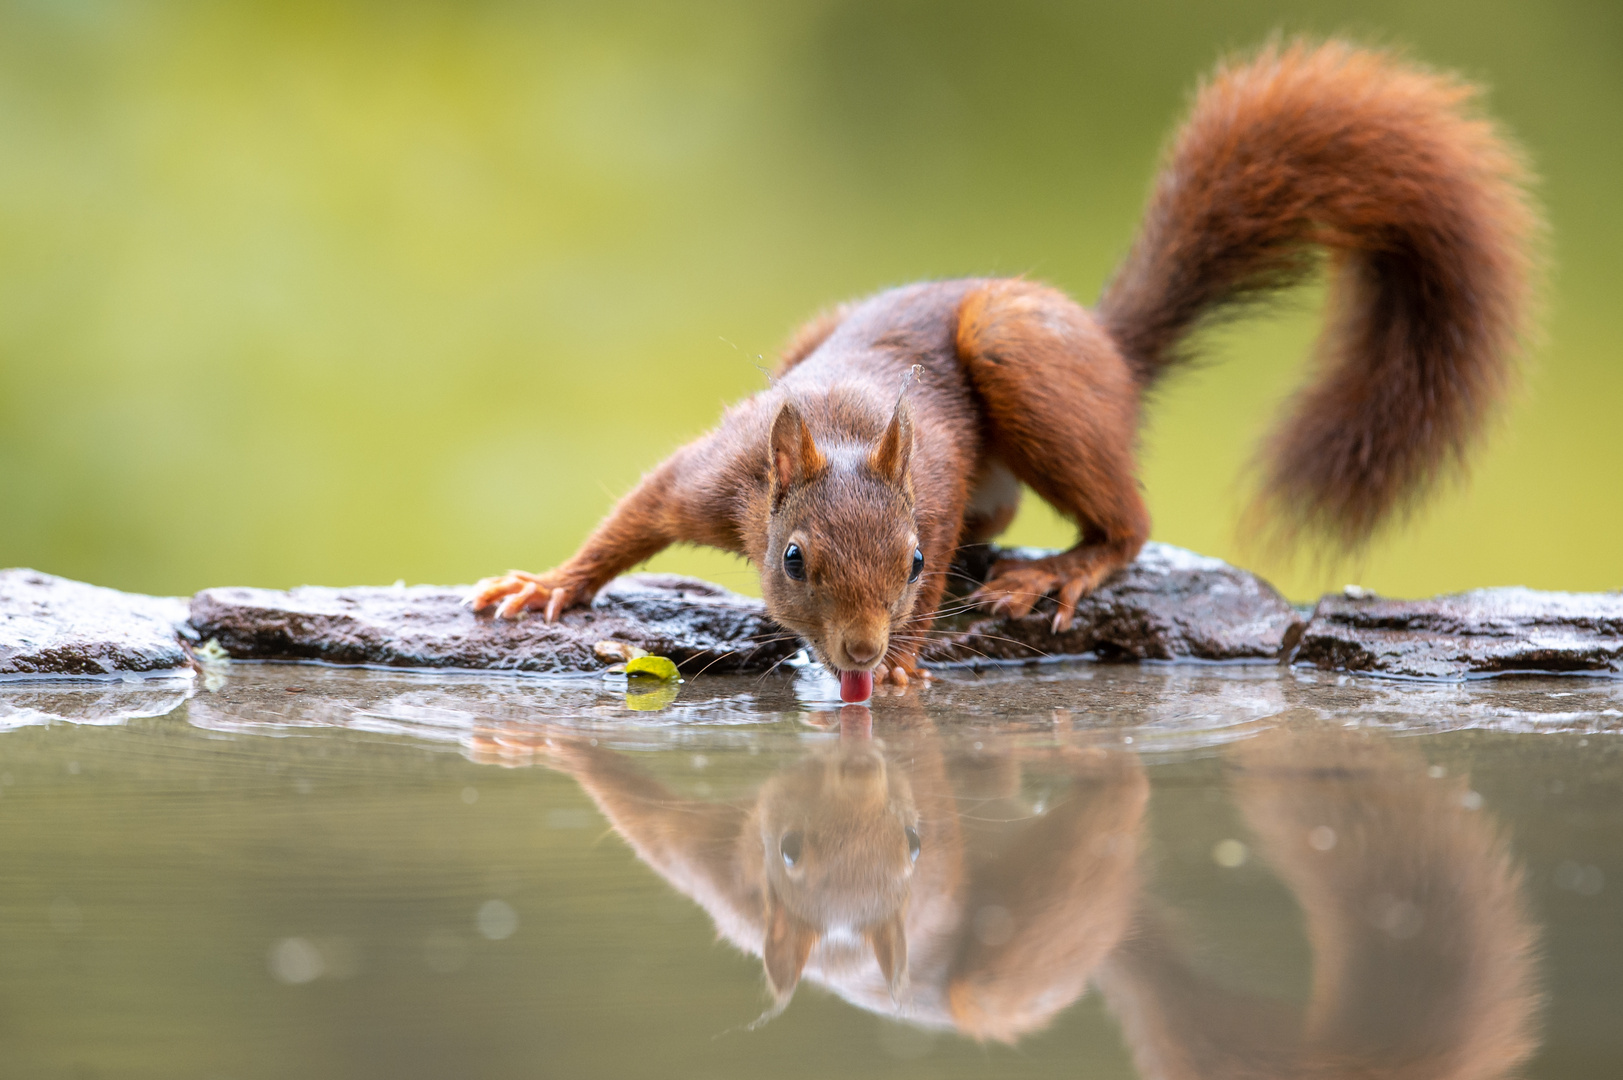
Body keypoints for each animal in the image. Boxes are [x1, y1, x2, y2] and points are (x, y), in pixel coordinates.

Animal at [470, 39, 1532, 698]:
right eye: (793, 558)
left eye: (907, 565)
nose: (859, 651)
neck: (844, 426)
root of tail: (1105, 353)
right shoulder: (713, 473)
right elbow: (633, 514)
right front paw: (547, 586)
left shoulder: (931, 492)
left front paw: (903, 665)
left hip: (1020, 359)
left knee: (1126, 524)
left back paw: (1055, 573)